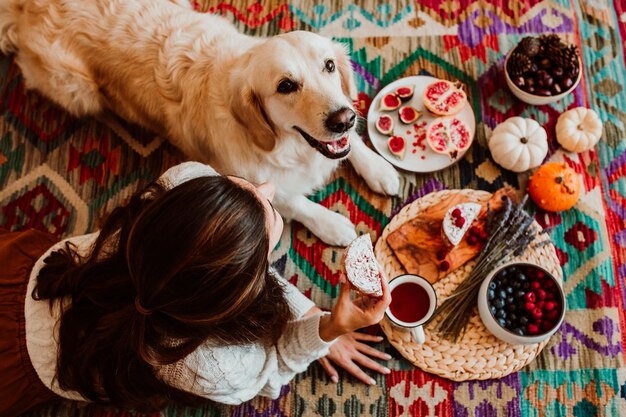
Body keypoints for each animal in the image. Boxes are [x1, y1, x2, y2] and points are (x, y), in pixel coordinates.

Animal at [1, 0, 400, 245]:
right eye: (286, 86)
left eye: (329, 66)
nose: (342, 119)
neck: (286, 147)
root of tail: (30, 5)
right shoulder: (241, 176)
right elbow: (296, 201)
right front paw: (332, 225)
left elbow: (352, 147)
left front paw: (378, 168)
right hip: (76, 90)